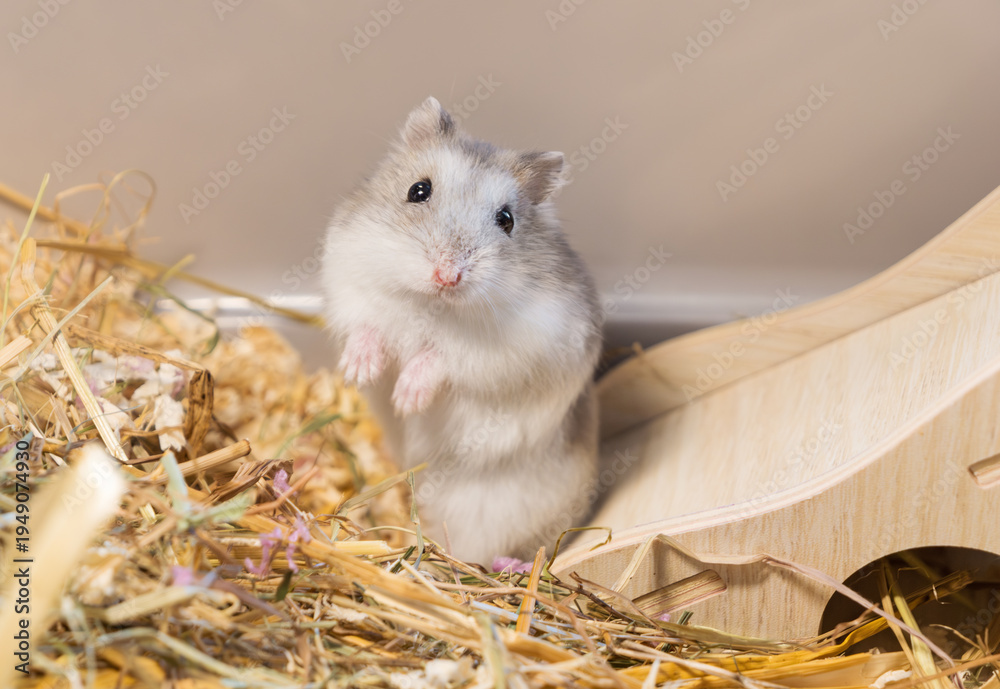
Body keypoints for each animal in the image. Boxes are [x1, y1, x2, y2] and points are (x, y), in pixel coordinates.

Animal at [321, 97, 601, 564]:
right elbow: (368, 328)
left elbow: (441, 358)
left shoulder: (512, 351)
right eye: (418, 190)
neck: (431, 305)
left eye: (506, 219)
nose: (446, 276)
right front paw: (360, 373)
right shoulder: (353, 288)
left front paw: (407, 399)